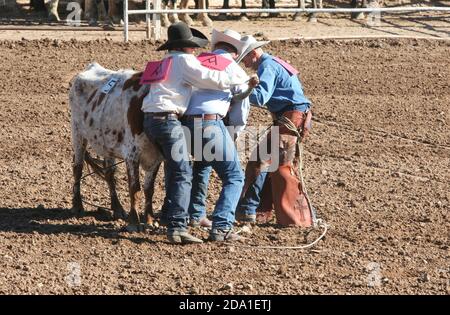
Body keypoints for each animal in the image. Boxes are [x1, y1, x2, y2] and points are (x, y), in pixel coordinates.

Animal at [68, 63, 163, 231]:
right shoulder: (132, 155)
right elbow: (134, 188)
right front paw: (134, 222)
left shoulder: (157, 157)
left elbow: (149, 189)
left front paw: (150, 219)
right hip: (78, 134)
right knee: (77, 168)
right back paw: (78, 205)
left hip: (107, 145)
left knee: (109, 174)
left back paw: (117, 208)